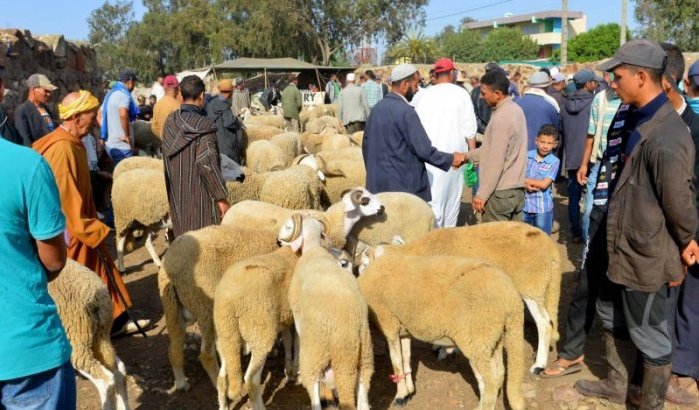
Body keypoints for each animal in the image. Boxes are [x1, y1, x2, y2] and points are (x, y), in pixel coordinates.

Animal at [157, 227, 280, 390]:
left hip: (172, 308)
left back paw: (182, 383)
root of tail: (170, 266)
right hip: (205, 307)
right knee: (206, 355)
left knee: (174, 351)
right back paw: (219, 385)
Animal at [213, 213, 326, 408]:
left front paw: (289, 370)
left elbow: (288, 341)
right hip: (260, 334)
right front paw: (296, 371)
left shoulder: (284, 318)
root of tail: (228, 301)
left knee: (222, 379)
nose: (278, 241)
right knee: (251, 380)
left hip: (226, 337)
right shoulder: (296, 316)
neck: (299, 253)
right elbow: (296, 341)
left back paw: (223, 406)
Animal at [360, 253, 524, 410]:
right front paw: (409, 391)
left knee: (491, 382)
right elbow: (406, 358)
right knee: (499, 373)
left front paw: (400, 396)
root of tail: (512, 299)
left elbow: (396, 362)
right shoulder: (403, 328)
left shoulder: (388, 322)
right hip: (492, 339)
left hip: (479, 339)